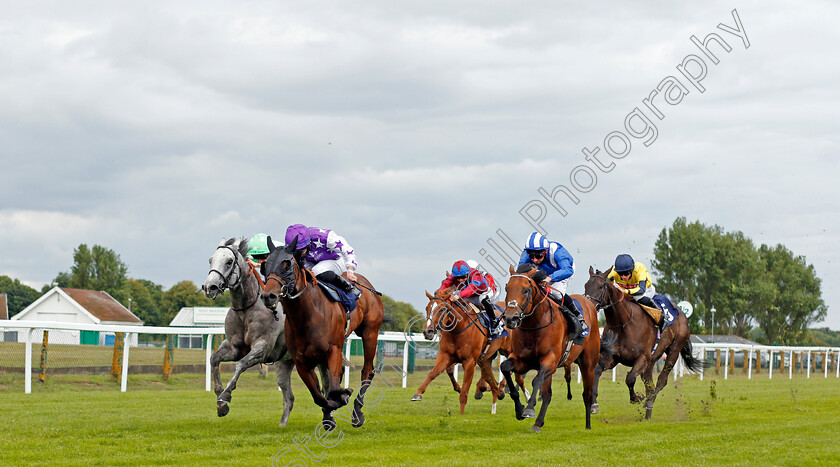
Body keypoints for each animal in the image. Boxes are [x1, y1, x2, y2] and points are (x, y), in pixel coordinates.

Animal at [203, 239, 296, 426]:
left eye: (229, 261)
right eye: (211, 260)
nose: (210, 287)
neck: (246, 309)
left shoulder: (262, 348)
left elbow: (241, 364)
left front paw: (225, 395)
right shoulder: (234, 348)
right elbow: (214, 359)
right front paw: (220, 403)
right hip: (285, 362)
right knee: (288, 397)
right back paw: (282, 425)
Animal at [260, 238, 386, 432]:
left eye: (287, 264)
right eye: (265, 266)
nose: (269, 296)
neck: (308, 315)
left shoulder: (333, 350)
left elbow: (332, 389)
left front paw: (343, 396)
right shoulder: (302, 361)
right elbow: (319, 395)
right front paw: (330, 413)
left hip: (370, 333)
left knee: (367, 371)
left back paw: (357, 414)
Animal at [498, 266, 604, 434]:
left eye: (526, 290)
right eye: (507, 288)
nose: (510, 318)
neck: (534, 325)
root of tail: (590, 305)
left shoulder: (550, 361)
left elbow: (536, 380)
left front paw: (529, 408)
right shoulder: (522, 360)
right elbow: (505, 368)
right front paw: (519, 409)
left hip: (588, 364)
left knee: (587, 395)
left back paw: (588, 424)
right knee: (548, 395)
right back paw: (538, 423)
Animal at [588, 266, 704, 420]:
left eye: (601, 286)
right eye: (586, 285)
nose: (588, 304)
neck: (624, 323)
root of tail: (682, 315)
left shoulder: (642, 357)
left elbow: (630, 378)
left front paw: (637, 397)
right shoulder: (612, 357)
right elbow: (597, 370)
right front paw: (594, 404)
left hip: (673, 350)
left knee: (661, 381)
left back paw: (648, 402)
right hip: (651, 361)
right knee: (650, 385)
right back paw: (647, 414)